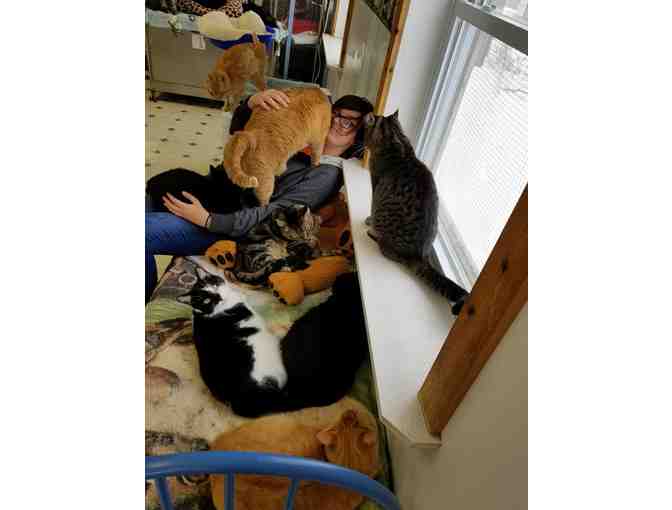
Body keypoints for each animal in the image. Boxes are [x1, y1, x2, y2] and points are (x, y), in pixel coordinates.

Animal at [363, 111, 469, 315]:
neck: (396, 140)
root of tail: (420, 256)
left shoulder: (375, 182)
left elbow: (371, 206)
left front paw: (369, 220)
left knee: (390, 253)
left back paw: (375, 236)